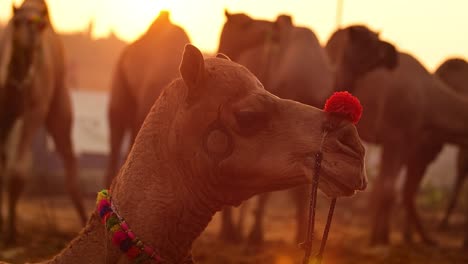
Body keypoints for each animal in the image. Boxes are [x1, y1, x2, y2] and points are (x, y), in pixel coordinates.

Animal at [328, 26, 468, 245]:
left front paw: (383, 237)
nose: (391, 54)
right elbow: (389, 189)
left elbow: (388, 189)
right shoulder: (398, 138)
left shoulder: (408, 142)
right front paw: (380, 240)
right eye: (367, 42)